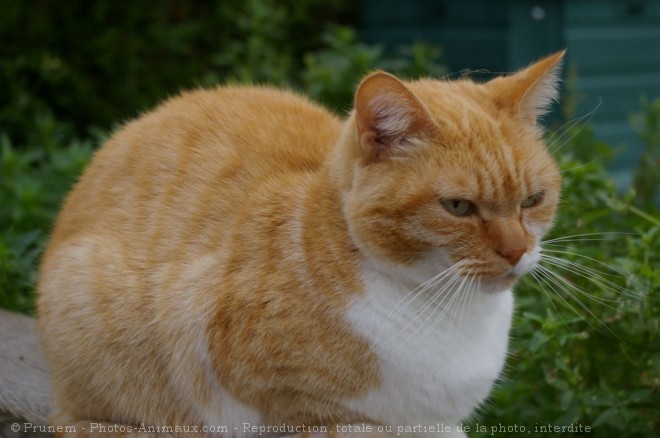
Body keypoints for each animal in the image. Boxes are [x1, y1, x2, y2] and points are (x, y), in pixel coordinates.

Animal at [36, 49, 564, 436]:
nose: (517, 251)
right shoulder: (218, 345)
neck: (445, 308)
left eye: (532, 200)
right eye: (457, 207)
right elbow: (344, 424)